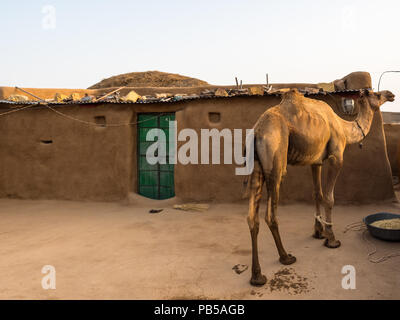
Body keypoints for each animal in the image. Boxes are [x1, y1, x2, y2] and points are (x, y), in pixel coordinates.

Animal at [247, 87, 394, 284]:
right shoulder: (336, 157)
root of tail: (257, 132)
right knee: (270, 214)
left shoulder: (315, 161)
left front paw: (319, 232)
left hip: (255, 166)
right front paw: (331, 239)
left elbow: (317, 193)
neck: (344, 128)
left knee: (251, 217)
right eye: (376, 94)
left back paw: (257, 276)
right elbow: (329, 198)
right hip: (275, 161)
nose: (391, 94)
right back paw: (285, 257)